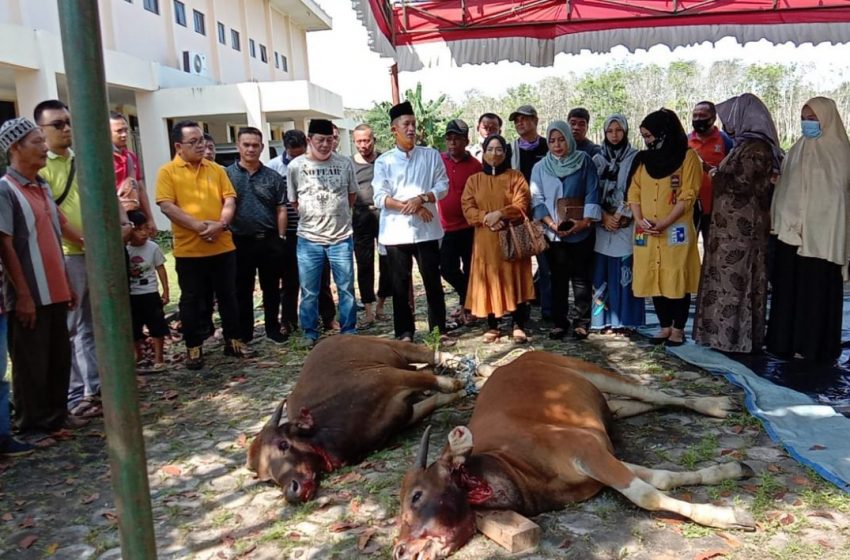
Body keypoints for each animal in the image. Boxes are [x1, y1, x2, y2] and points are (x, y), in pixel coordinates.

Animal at [245, 336, 470, 504]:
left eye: (283, 444)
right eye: (267, 478)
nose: (292, 490)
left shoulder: (387, 376)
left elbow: (440, 383)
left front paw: (465, 382)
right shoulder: (405, 414)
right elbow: (435, 400)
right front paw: (459, 392)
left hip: (395, 346)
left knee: (428, 354)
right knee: (424, 368)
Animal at [392, 352, 756, 556]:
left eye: (416, 496)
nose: (400, 550)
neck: (514, 466)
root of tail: (515, 361)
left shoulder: (589, 451)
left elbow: (647, 495)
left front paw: (729, 516)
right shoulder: (604, 459)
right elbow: (663, 480)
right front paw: (729, 471)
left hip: (590, 369)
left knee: (653, 393)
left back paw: (713, 404)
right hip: (604, 402)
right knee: (631, 404)